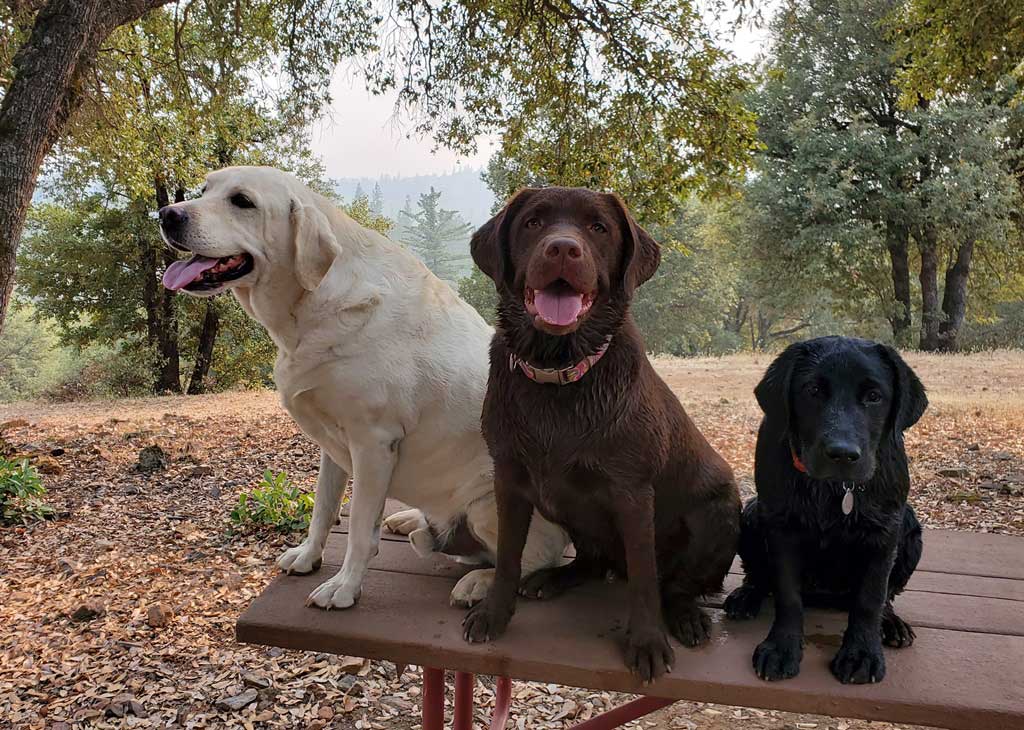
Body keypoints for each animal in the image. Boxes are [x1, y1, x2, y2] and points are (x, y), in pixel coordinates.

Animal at [157, 167, 569, 606]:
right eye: (204, 190)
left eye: (242, 201)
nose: (167, 215)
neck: (308, 308)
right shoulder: (330, 446)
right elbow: (323, 509)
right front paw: (309, 555)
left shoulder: (373, 443)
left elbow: (357, 527)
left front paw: (344, 586)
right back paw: (411, 520)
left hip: (488, 503)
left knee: (535, 558)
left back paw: (480, 581)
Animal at [720, 335, 929, 683]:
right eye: (813, 390)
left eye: (874, 396)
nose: (842, 454)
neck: (835, 489)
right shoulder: (782, 529)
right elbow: (788, 596)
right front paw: (782, 648)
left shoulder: (885, 532)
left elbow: (871, 598)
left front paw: (861, 654)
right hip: (751, 513)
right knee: (760, 577)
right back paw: (746, 596)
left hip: (910, 527)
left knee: (885, 597)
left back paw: (892, 623)